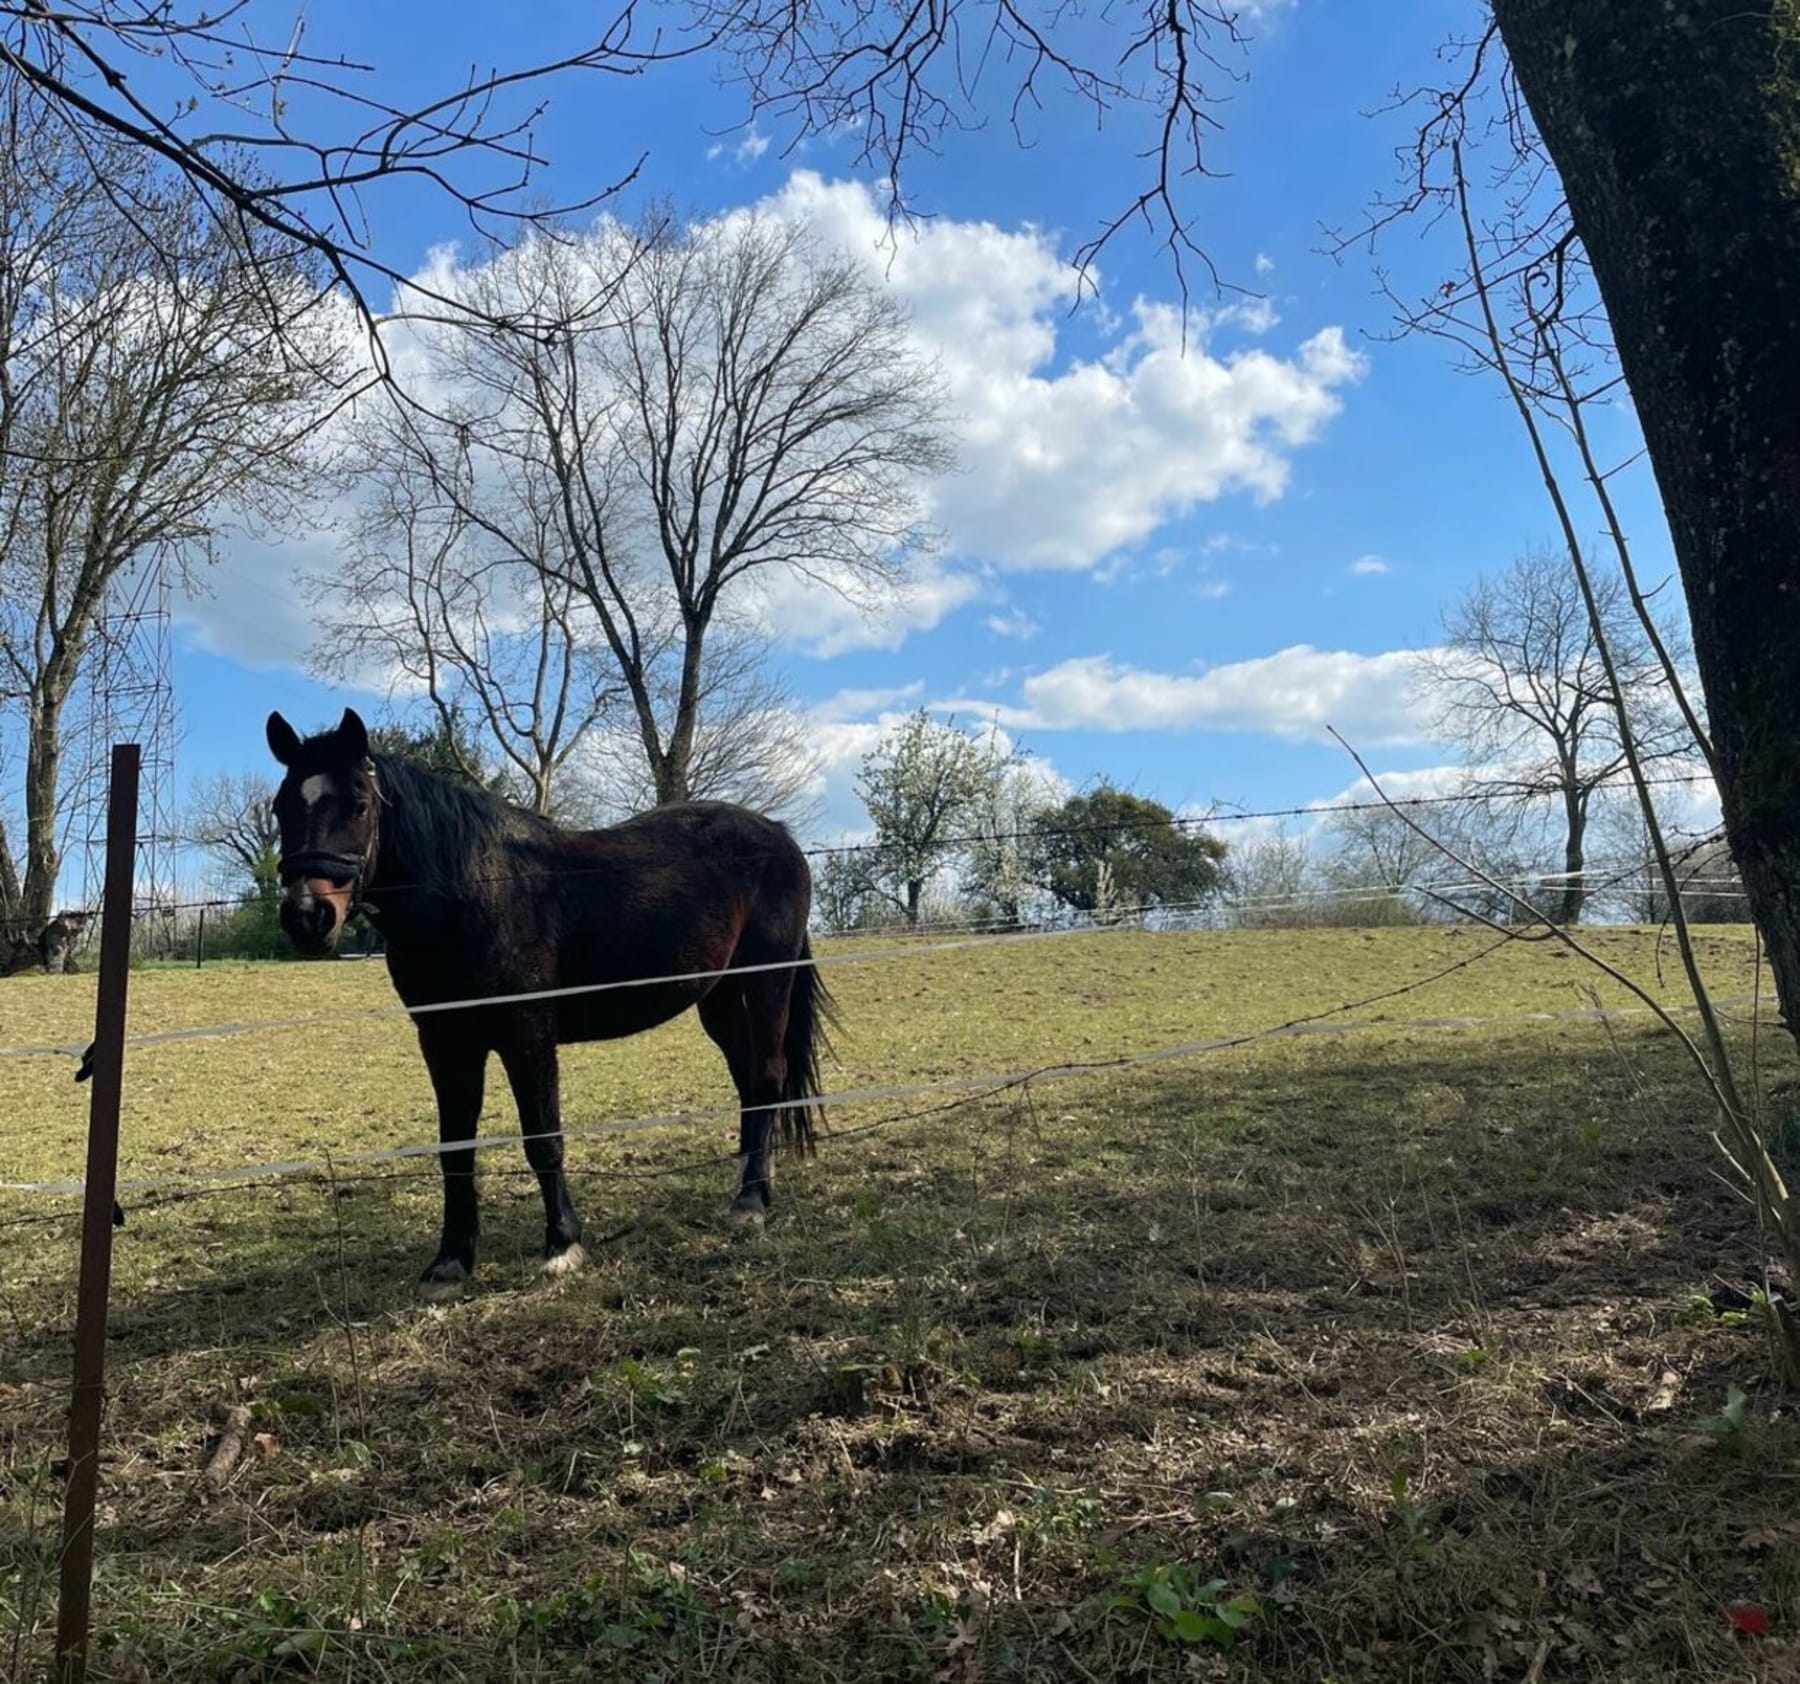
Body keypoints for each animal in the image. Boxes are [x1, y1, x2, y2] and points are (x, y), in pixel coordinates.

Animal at [262, 705, 835, 1295]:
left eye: (358, 803)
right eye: (282, 807)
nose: (308, 917)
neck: (475, 890)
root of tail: (779, 837)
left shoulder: (527, 1032)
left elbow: (543, 1136)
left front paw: (562, 1245)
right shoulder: (445, 1041)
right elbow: (455, 1147)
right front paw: (450, 1261)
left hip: (766, 982)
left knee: (766, 1077)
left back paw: (750, 1202)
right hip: (719, 998)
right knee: (748, 1081)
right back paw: (750, 1183)